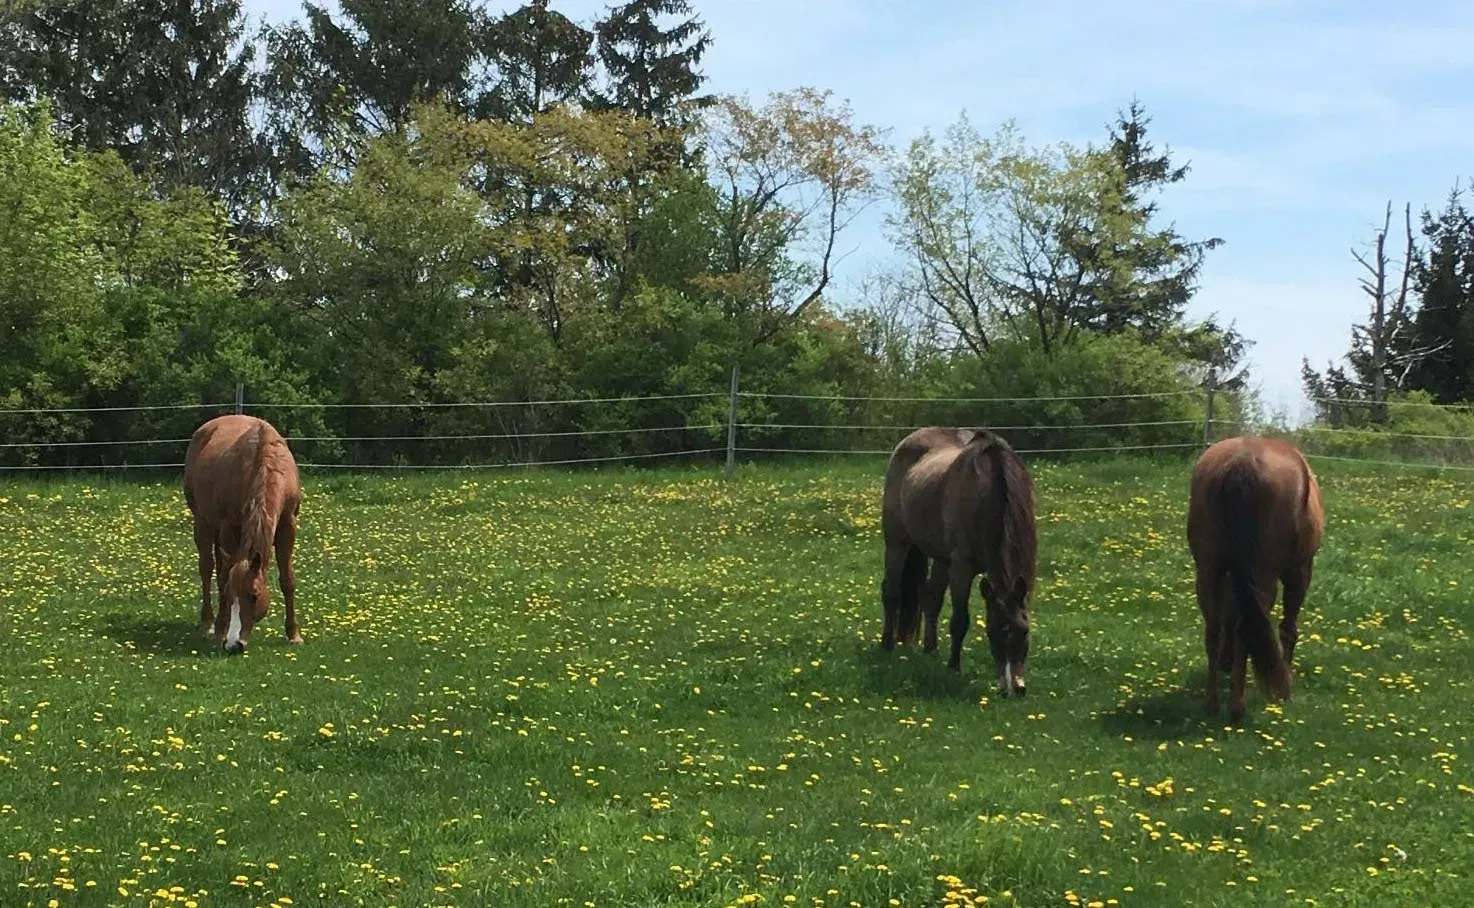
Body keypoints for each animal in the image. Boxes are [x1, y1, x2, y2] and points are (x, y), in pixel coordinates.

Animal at [183, 414, 303, 654]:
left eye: (254, 596)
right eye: (232, 596)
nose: (233, 645)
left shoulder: (287, 525)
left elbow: (287, 580)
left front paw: (293, 634)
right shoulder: (230, 528)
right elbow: (222, 579)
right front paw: (220, 630)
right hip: (202, 523)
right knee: (207, 568)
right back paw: (209, 623)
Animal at [880, 426, 1038, 696]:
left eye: (1024, 630)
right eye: (991, 632)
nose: (1013, 689)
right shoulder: (962, 568)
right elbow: (960, 620)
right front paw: (954, 667)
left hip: (941, 558)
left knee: (931, 598)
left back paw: (931, 649)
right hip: (897, 542)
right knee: (891, 592)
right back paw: (887, 646)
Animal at [1187, 435, 1324, 722]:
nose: (1225, 663)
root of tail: (1244, 461)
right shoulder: (1300, 570)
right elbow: (1288, 629)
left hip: (1207, 570)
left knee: (1213, 629)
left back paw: (1212, 704)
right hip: (1265, 575)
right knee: (1245, 630)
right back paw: (1237, 708)